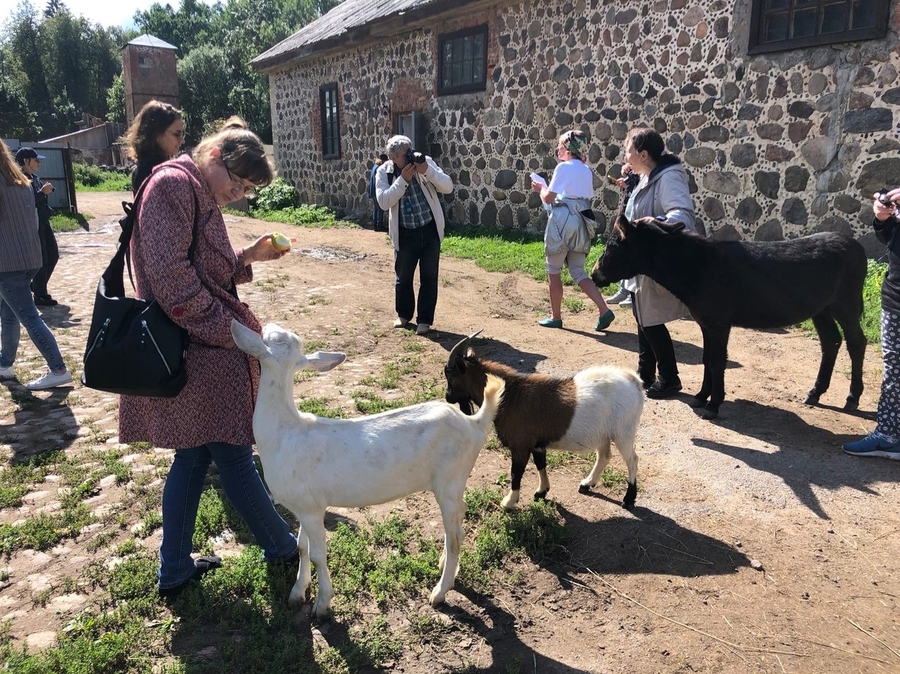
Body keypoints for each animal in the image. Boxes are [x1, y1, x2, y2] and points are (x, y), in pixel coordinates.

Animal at [232, 318, 502, 616]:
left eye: (272, 337)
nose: (266, 324)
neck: (285, 432)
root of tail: (474, 423)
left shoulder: (313, 510)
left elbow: (317, 554)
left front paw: (322, 604)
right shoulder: (303, 507)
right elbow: (302, 547)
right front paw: (297, 593)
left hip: (449, 482)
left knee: (454, 536)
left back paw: (439, 593)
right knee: (457, 526)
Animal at [442, 330, 640, 510]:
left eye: (451, 374)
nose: (448, 397)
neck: (510, 395)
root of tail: (634, 382)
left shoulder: (521, 445)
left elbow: (516, 473)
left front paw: (509, 502)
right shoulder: (537, 444)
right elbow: (540, 464)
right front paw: (541, 492)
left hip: (624, 432)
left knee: (632, 459)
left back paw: (628, 499)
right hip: (603, 434)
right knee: (604, 455)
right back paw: (586, 484)